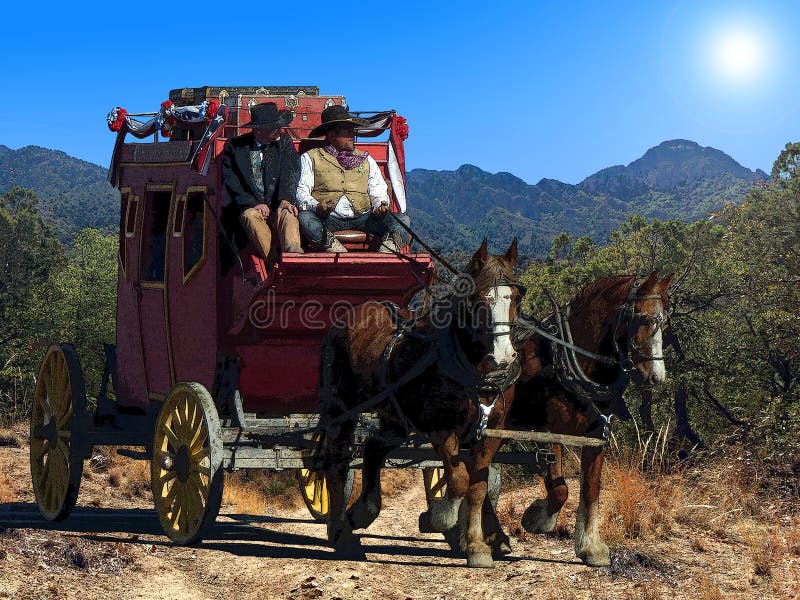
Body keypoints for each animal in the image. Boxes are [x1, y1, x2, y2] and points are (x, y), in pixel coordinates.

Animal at [316, 239, 520, 568]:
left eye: (515, 297)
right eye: (479, 300)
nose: (503, 356)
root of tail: (349, 316)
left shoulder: (491, 433)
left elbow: (477, 488)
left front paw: (476, 545)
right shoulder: (441, 429)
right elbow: (459, 480)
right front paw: (439, 517)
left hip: (395, 419)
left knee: (373, 447)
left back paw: (362, 512)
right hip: (341, 410)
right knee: (336, 463)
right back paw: (341, 534)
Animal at [510, 272, 672, 568]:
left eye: (664, 320)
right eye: (642, 319)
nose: (656, 376)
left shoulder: (596, 437)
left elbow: (591, 490)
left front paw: (589, 547)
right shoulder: (549, 434)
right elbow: (560, 490)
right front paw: (537, 518)